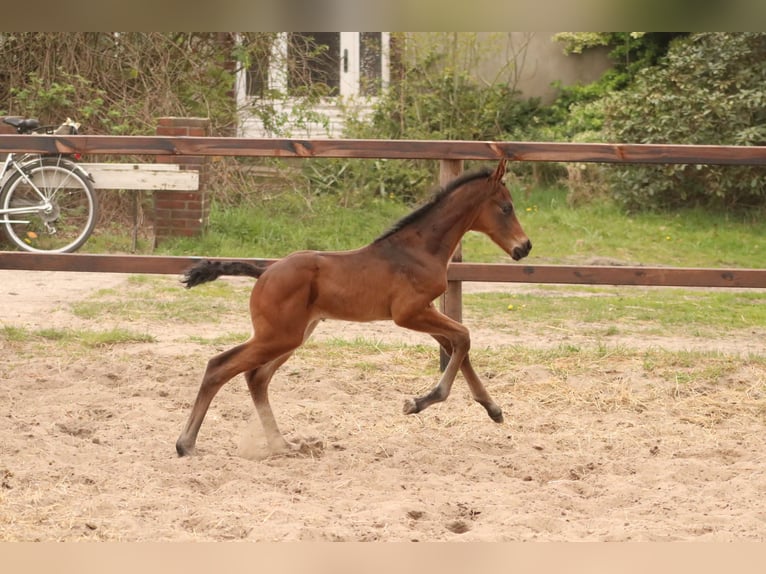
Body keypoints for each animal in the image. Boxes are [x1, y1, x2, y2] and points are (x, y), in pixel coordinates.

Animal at [176, 160, 532, 456]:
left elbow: (459, 345)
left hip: (293, 335)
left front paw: (493, 409)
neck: (417, 250)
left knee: (256, 377)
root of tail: (266, 270)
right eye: (506, 207)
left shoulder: (426, 310)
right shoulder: (409, 314)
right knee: (220, 366)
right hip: (278, 336)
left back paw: (281, 444)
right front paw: (417, 403)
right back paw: (186, 443)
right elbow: (464, 337)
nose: (524, 247)